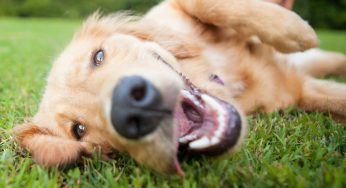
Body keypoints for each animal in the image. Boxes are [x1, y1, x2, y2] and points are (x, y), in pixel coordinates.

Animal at [11, 0, 346, 176]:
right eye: (79, 131)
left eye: (99, 57)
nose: (131, 107)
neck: (222, 76)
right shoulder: (296, 92)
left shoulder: (173, 9)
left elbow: (206, 4)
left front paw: (292, 29)